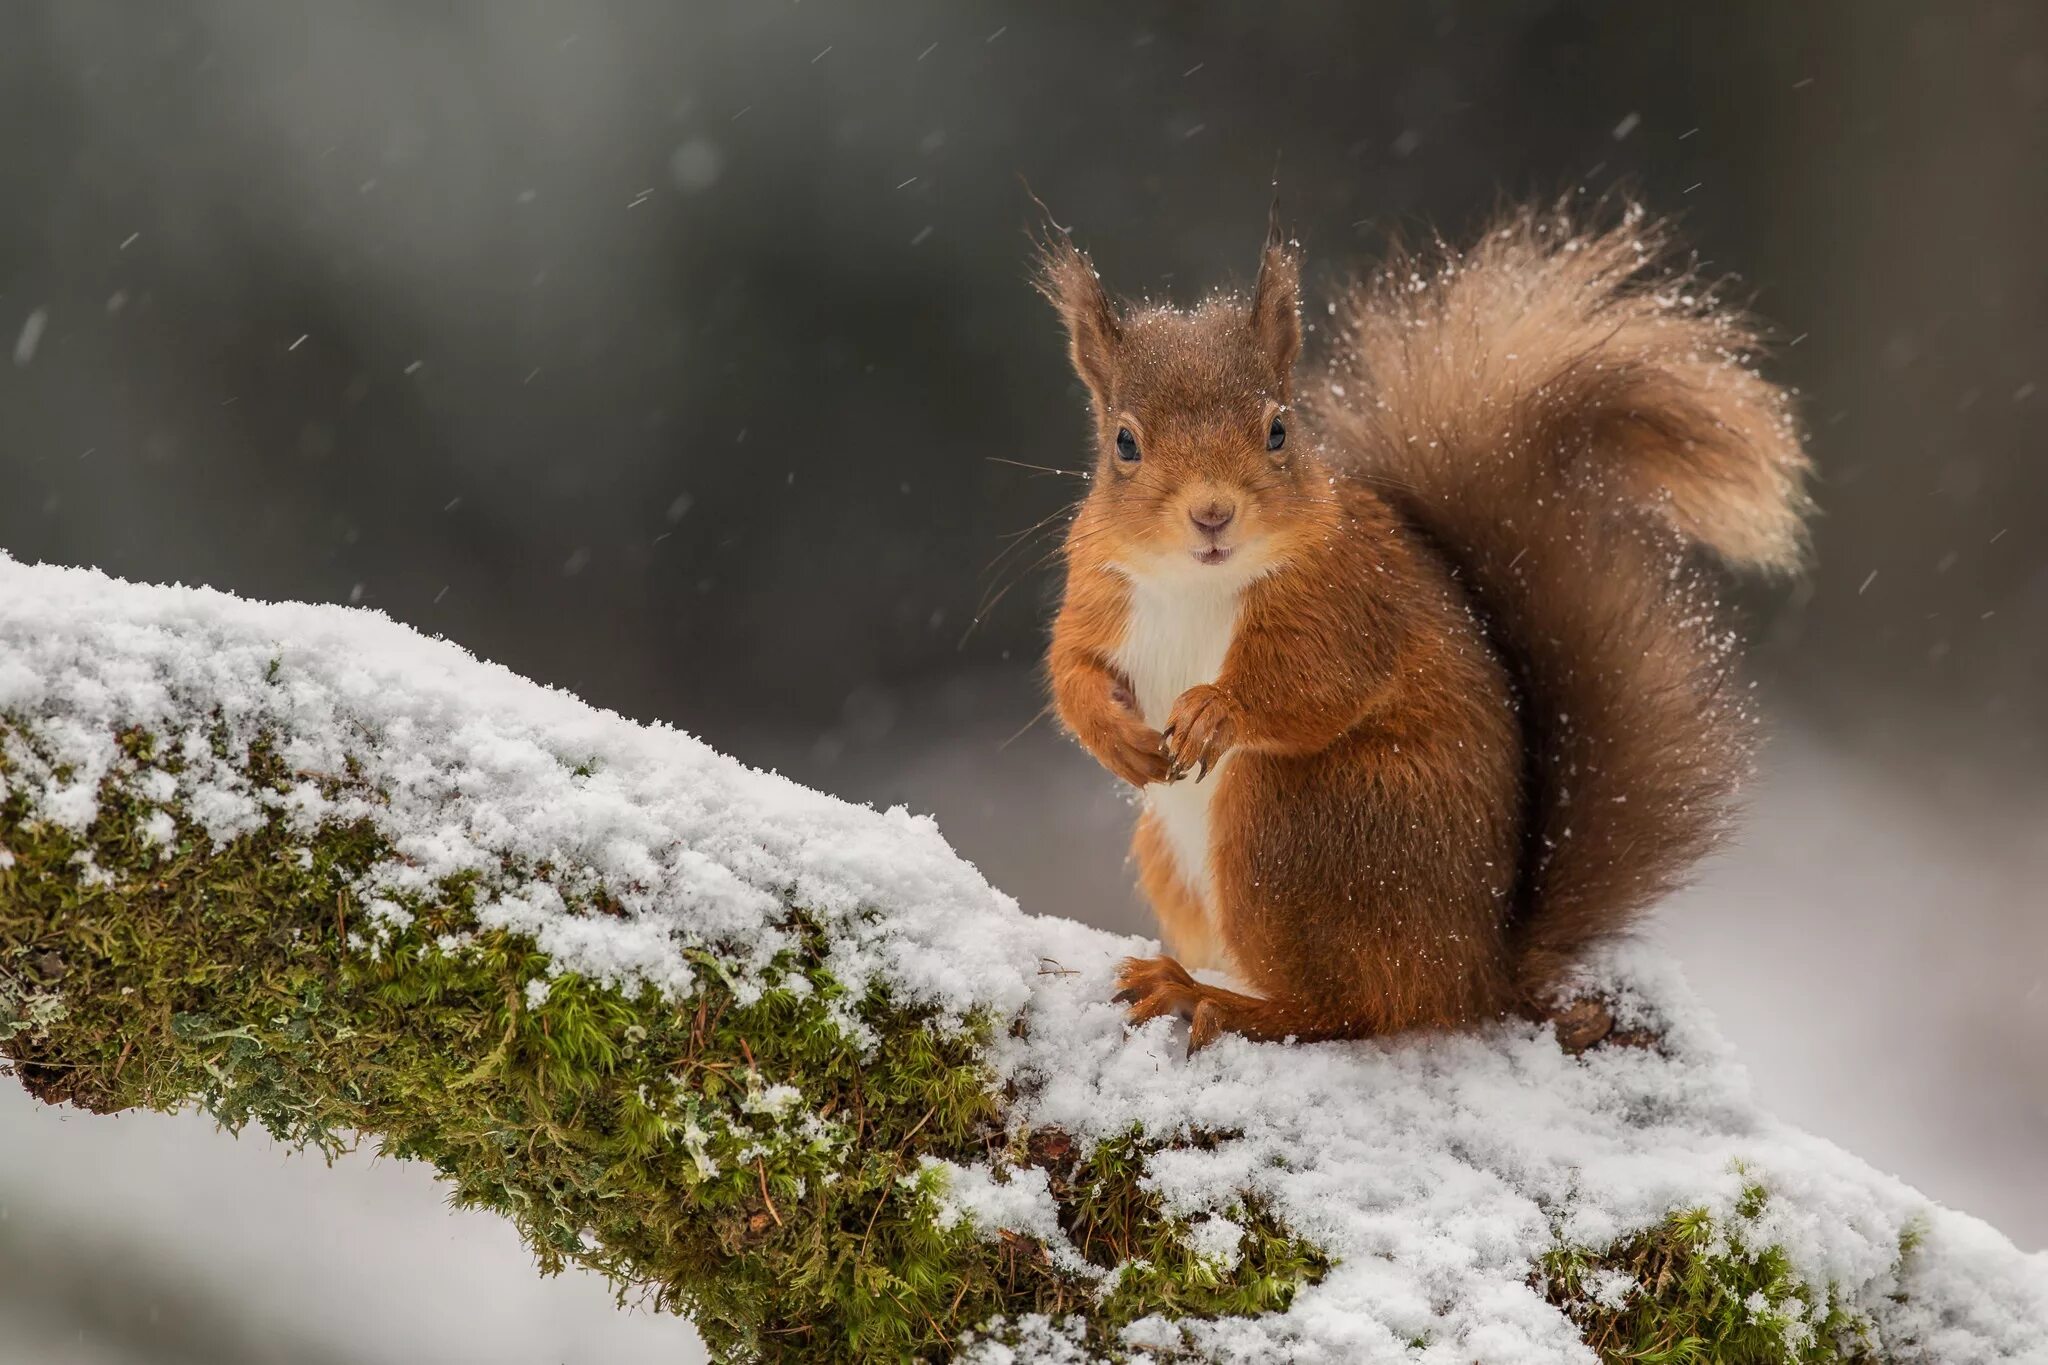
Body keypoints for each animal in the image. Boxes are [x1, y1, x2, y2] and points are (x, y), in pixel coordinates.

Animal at [1040, 208, 1810, 1055]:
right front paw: (1114, 735)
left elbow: (1313, 681)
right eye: (1124, 442)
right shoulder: (1098, 589)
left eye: (1279, 430)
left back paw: (1210, 996)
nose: (1212, 513)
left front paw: (1218, 708)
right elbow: (1071, 668)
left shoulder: (1347, 600)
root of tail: (1477, 968)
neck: (1196, 580)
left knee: (1350, 1006)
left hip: (1300, 820)